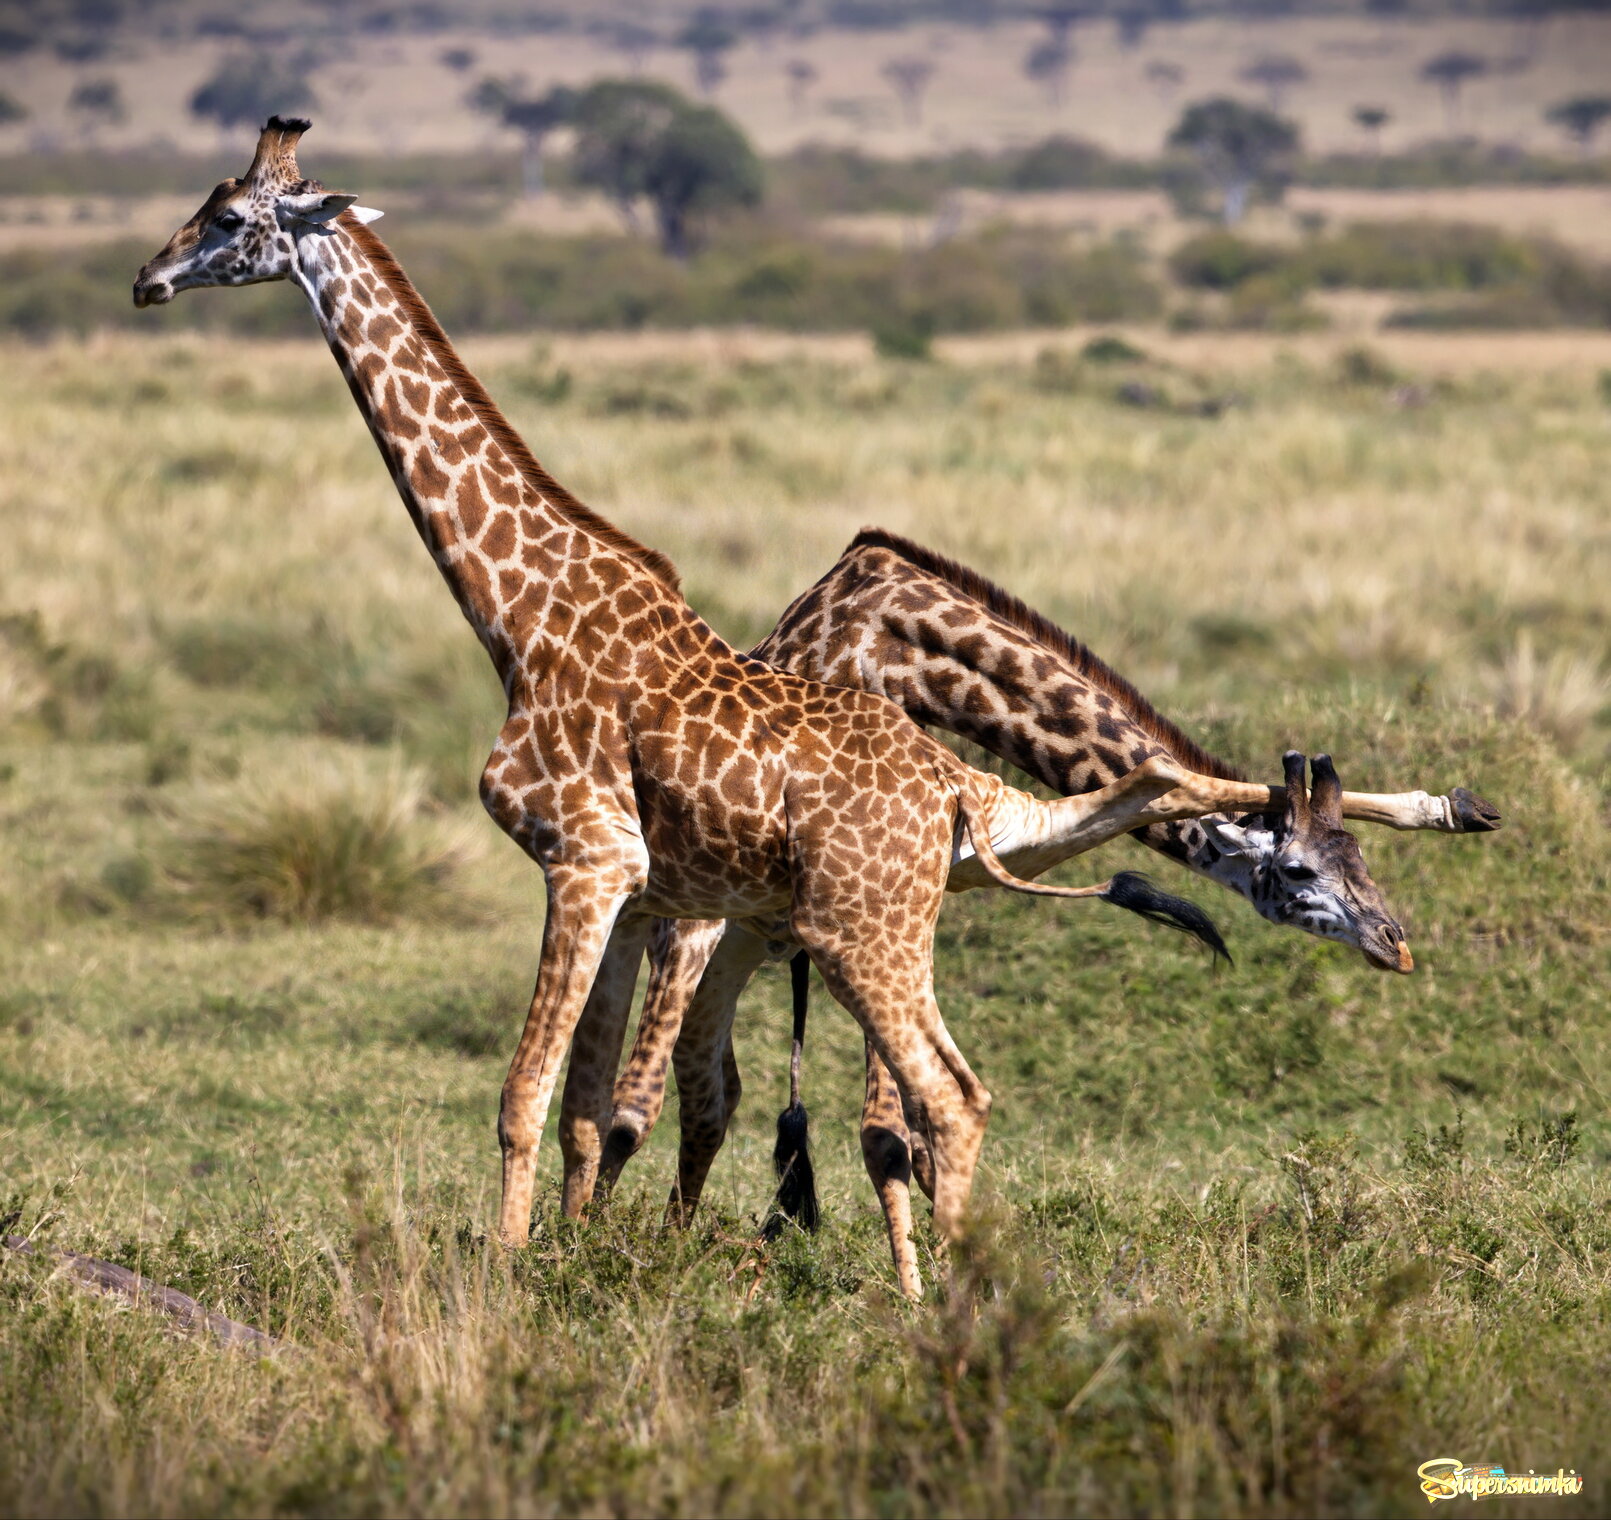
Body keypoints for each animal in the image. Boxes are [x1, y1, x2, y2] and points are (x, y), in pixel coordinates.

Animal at [132, 115, 1321, 1268]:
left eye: (228, 216)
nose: (146, 277)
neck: (516, 617)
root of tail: (960, 790)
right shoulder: (637, 895)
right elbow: (586, 1106)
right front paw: (578, 1264)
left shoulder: (584, 862)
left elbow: (522, 1096)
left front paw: (506, 1283)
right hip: (878, 929)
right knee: (956, 1080)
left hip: (856, 932)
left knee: (948, 1098)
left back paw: (961, 1299)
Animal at [589, 528, 1495, 1288]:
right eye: (1299, 872)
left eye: (1360, 862)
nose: (1394, 943)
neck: (895, 647)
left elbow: (894, 1132)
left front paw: (1445, 807)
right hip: (692, 925)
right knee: (641, 1095)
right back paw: (603, 1244)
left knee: (712, 1089)